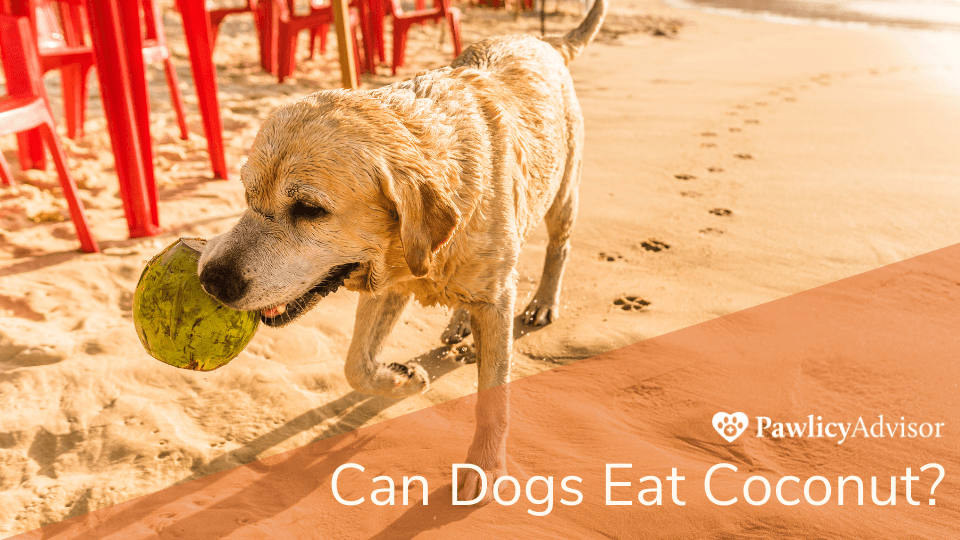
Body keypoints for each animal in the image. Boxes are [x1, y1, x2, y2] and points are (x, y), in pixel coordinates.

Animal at [197, 0, 608, 504]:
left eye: (309, 209)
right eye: (247, 194)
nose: (211, 280)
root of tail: (544, 41)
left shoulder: (490, 298)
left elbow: (493, 398)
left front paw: (485, 464)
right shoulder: (385, 284)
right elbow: (355, 365)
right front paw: (402, 379)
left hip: (561, 196)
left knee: (557, 248)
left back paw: (543, 303)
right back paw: (458, 324)